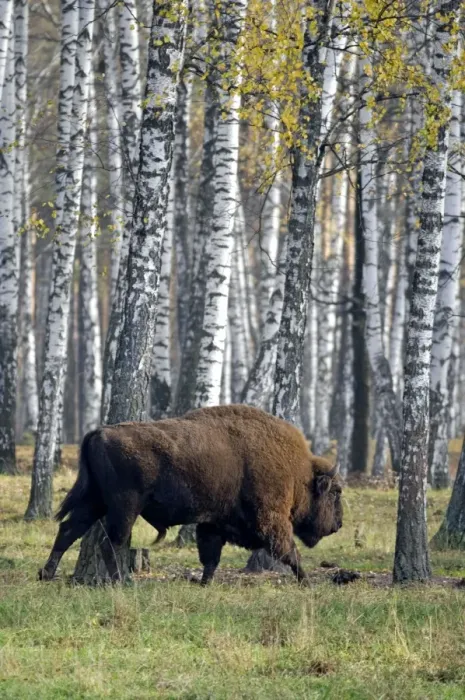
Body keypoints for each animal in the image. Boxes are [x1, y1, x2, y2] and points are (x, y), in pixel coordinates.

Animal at [39, 405, 342, 585]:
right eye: (336, 492)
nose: (338, 525)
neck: (298, 473)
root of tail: (99, 432)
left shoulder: (213, 523)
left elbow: (211, 556)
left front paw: (204, 583)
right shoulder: (272, 519)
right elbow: (289, 550)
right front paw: (307, 582)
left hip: (96, 501)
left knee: (69, 530)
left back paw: (45, 574)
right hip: (125, 506)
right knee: (110, 542)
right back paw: (123, 582)